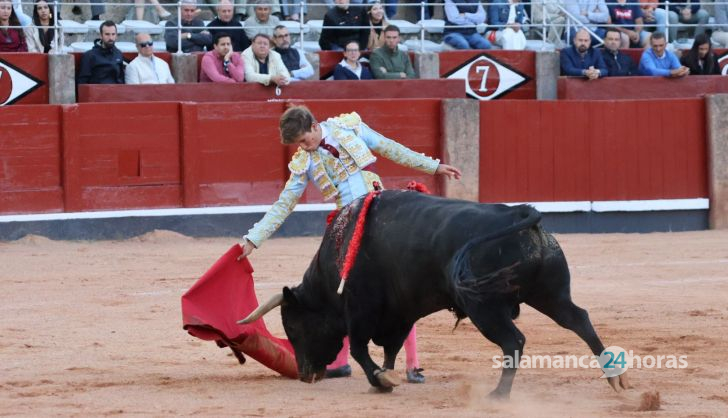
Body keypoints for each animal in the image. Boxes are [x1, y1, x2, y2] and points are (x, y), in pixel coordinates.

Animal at [240, 191, 632, 396]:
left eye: (294, 327)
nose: (305, 373)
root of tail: (521, 214)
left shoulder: (361, 309)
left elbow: (359, 348)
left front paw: (381, 380)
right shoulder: (399, 311)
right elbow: (391, 347)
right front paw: (386, 377)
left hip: (485, 307)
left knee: (514, 340)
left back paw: (499, 394)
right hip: (549, 293)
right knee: (579, 319)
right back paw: (615, 377)